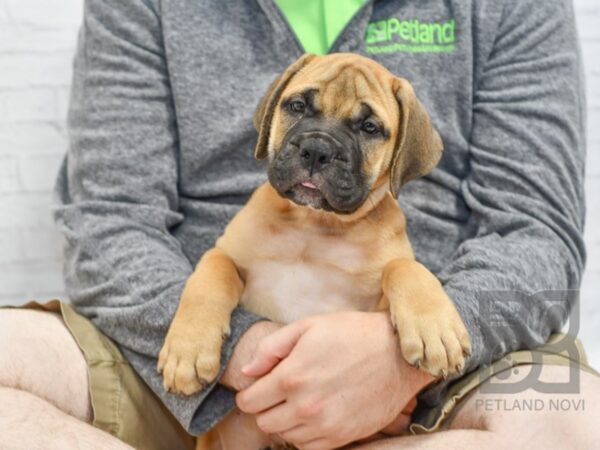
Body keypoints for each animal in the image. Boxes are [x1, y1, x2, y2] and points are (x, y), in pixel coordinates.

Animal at [159, 53, 474, 450]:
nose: (317, 150)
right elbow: (210, 276)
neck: (313, 224)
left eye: (370, 128)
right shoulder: (226, 253)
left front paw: (436, 331)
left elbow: (404, 267)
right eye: (297, 106)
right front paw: (187, 349)